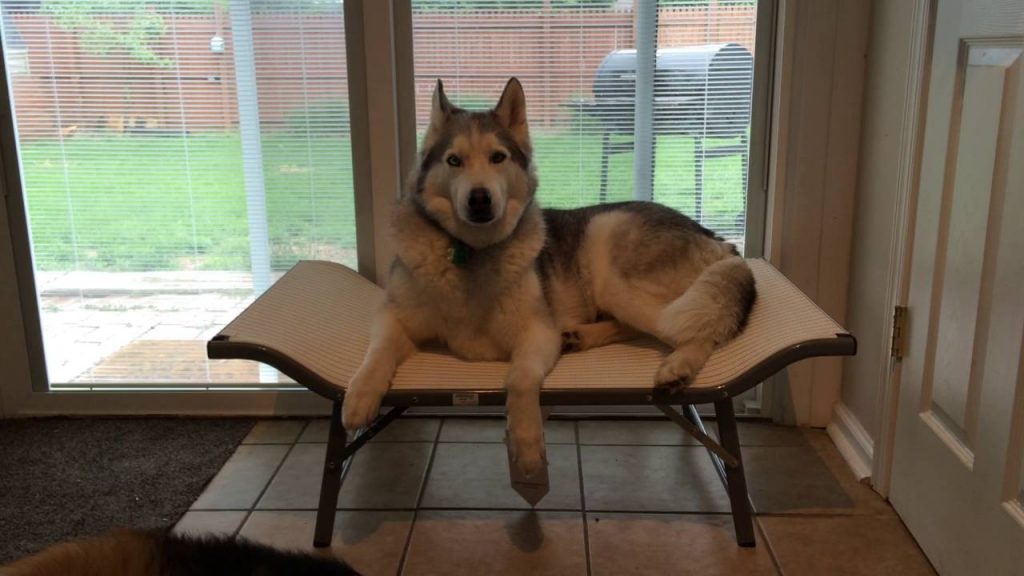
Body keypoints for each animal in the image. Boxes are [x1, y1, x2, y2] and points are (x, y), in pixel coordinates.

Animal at [342, 79, 753, 475]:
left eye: (498, 157)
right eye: (454, 160)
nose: (480, 199)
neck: (470, 253)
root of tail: (716, 237)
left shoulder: (536, 332)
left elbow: (520, 379)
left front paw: (526, 448)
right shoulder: (394, 318)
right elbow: (377, 352)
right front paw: (360, 396)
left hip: (613, 257)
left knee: (696, 329)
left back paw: (677, 367)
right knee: (633, 326)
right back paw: (579, 336)